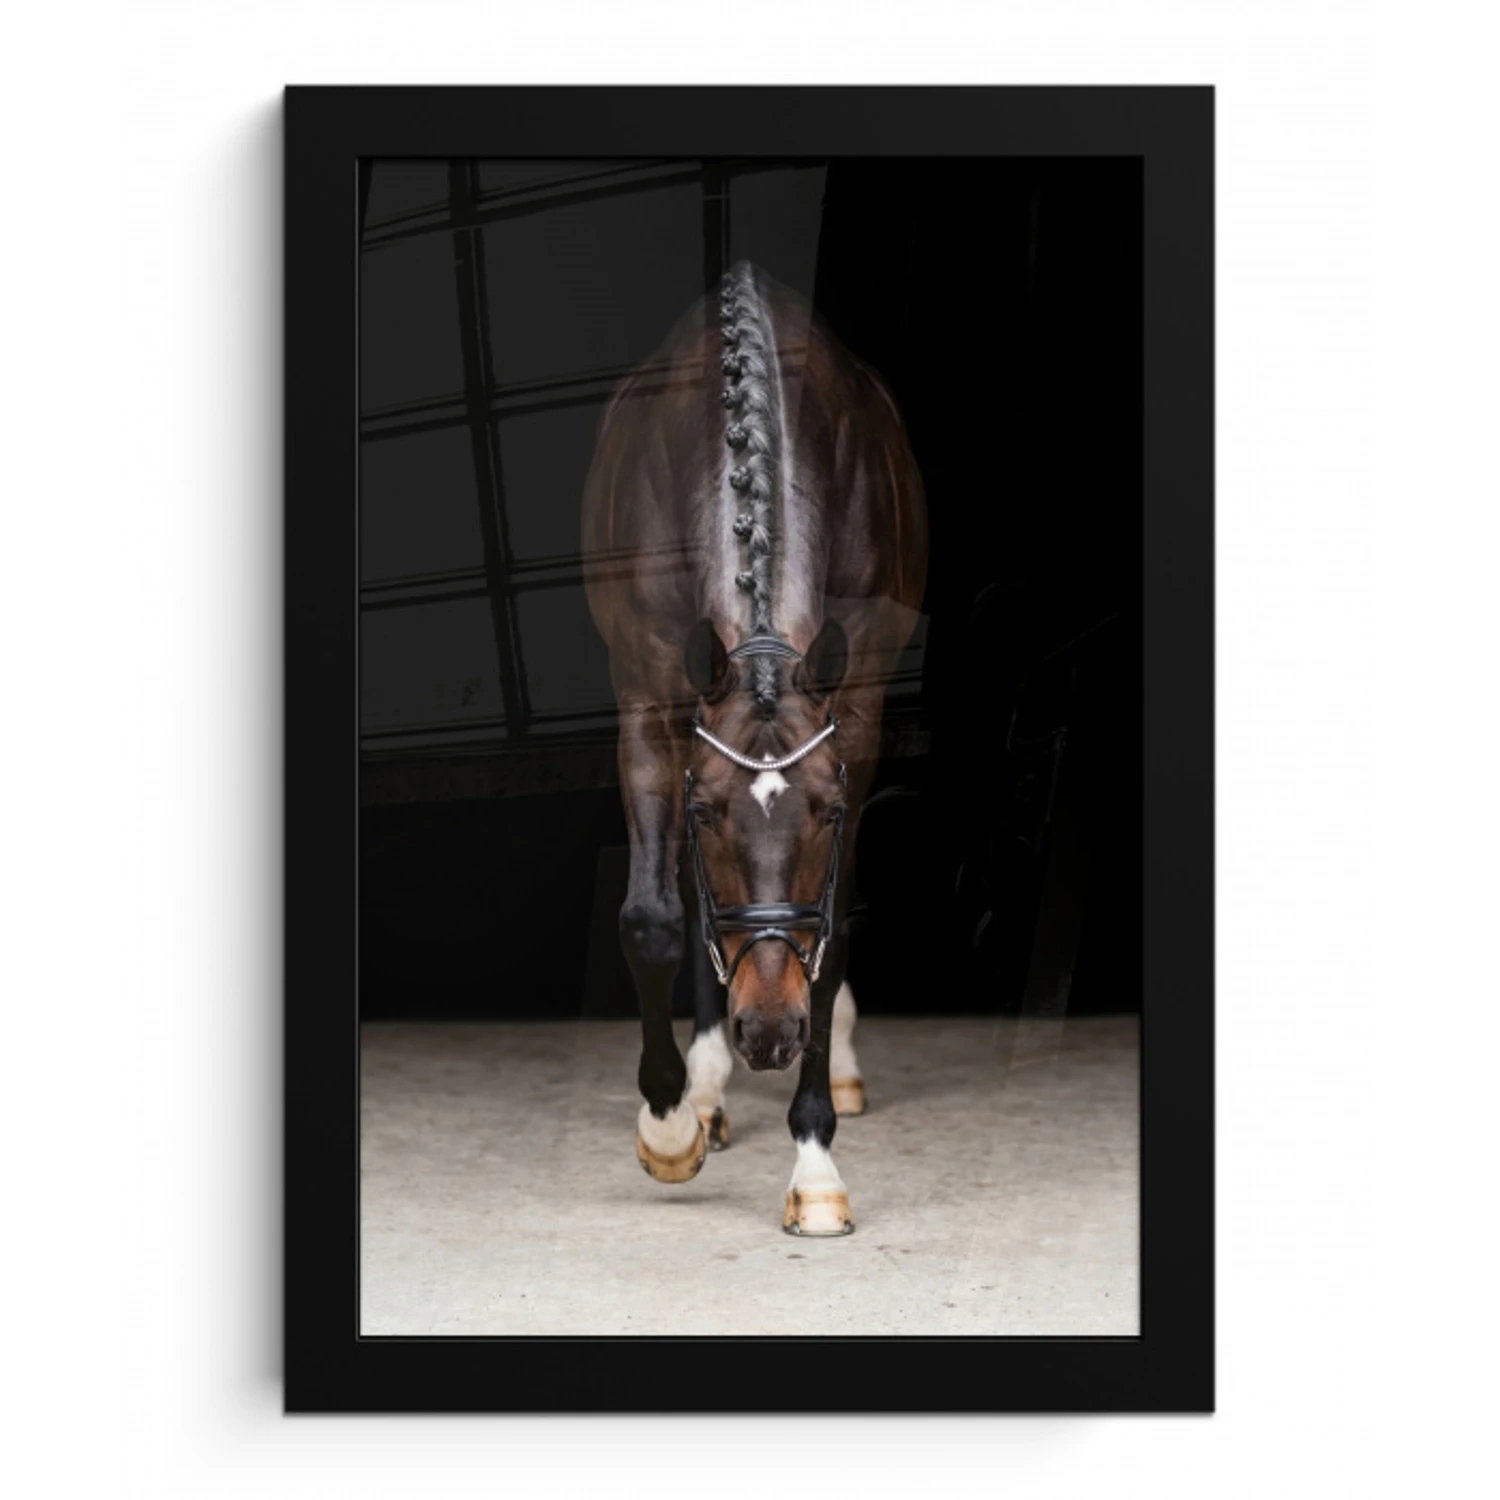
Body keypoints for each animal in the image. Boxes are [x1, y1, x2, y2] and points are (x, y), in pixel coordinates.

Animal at [581, 260, 928, 1235]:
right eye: (705, 812)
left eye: (828, 810)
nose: (769, 1033)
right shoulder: (648, 702)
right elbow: (655, 918)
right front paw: (669, 1126)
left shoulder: (856, 715)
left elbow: (831, 933)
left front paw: (814, 1163)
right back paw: (704, 1091)